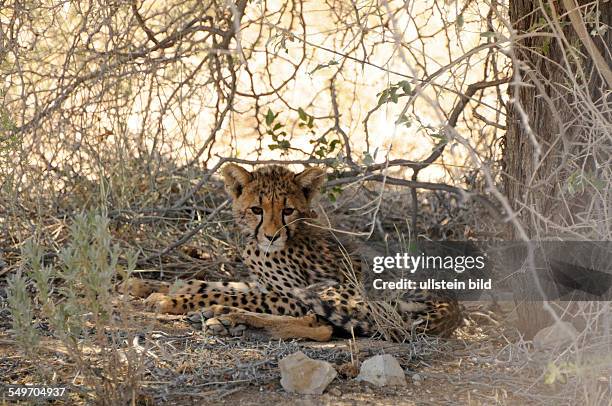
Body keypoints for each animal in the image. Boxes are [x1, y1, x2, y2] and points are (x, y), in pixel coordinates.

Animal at [126, 163, 462, 340]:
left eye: (287, 210)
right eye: (257, 209)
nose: (272, 235)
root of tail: (451, 308)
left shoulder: (294, 291)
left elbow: (227, 292)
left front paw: (173, 302)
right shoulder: (265, 284)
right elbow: (211, 283)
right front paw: (146, 286)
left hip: (338, 291)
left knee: (323, 326)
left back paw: (223, 316)